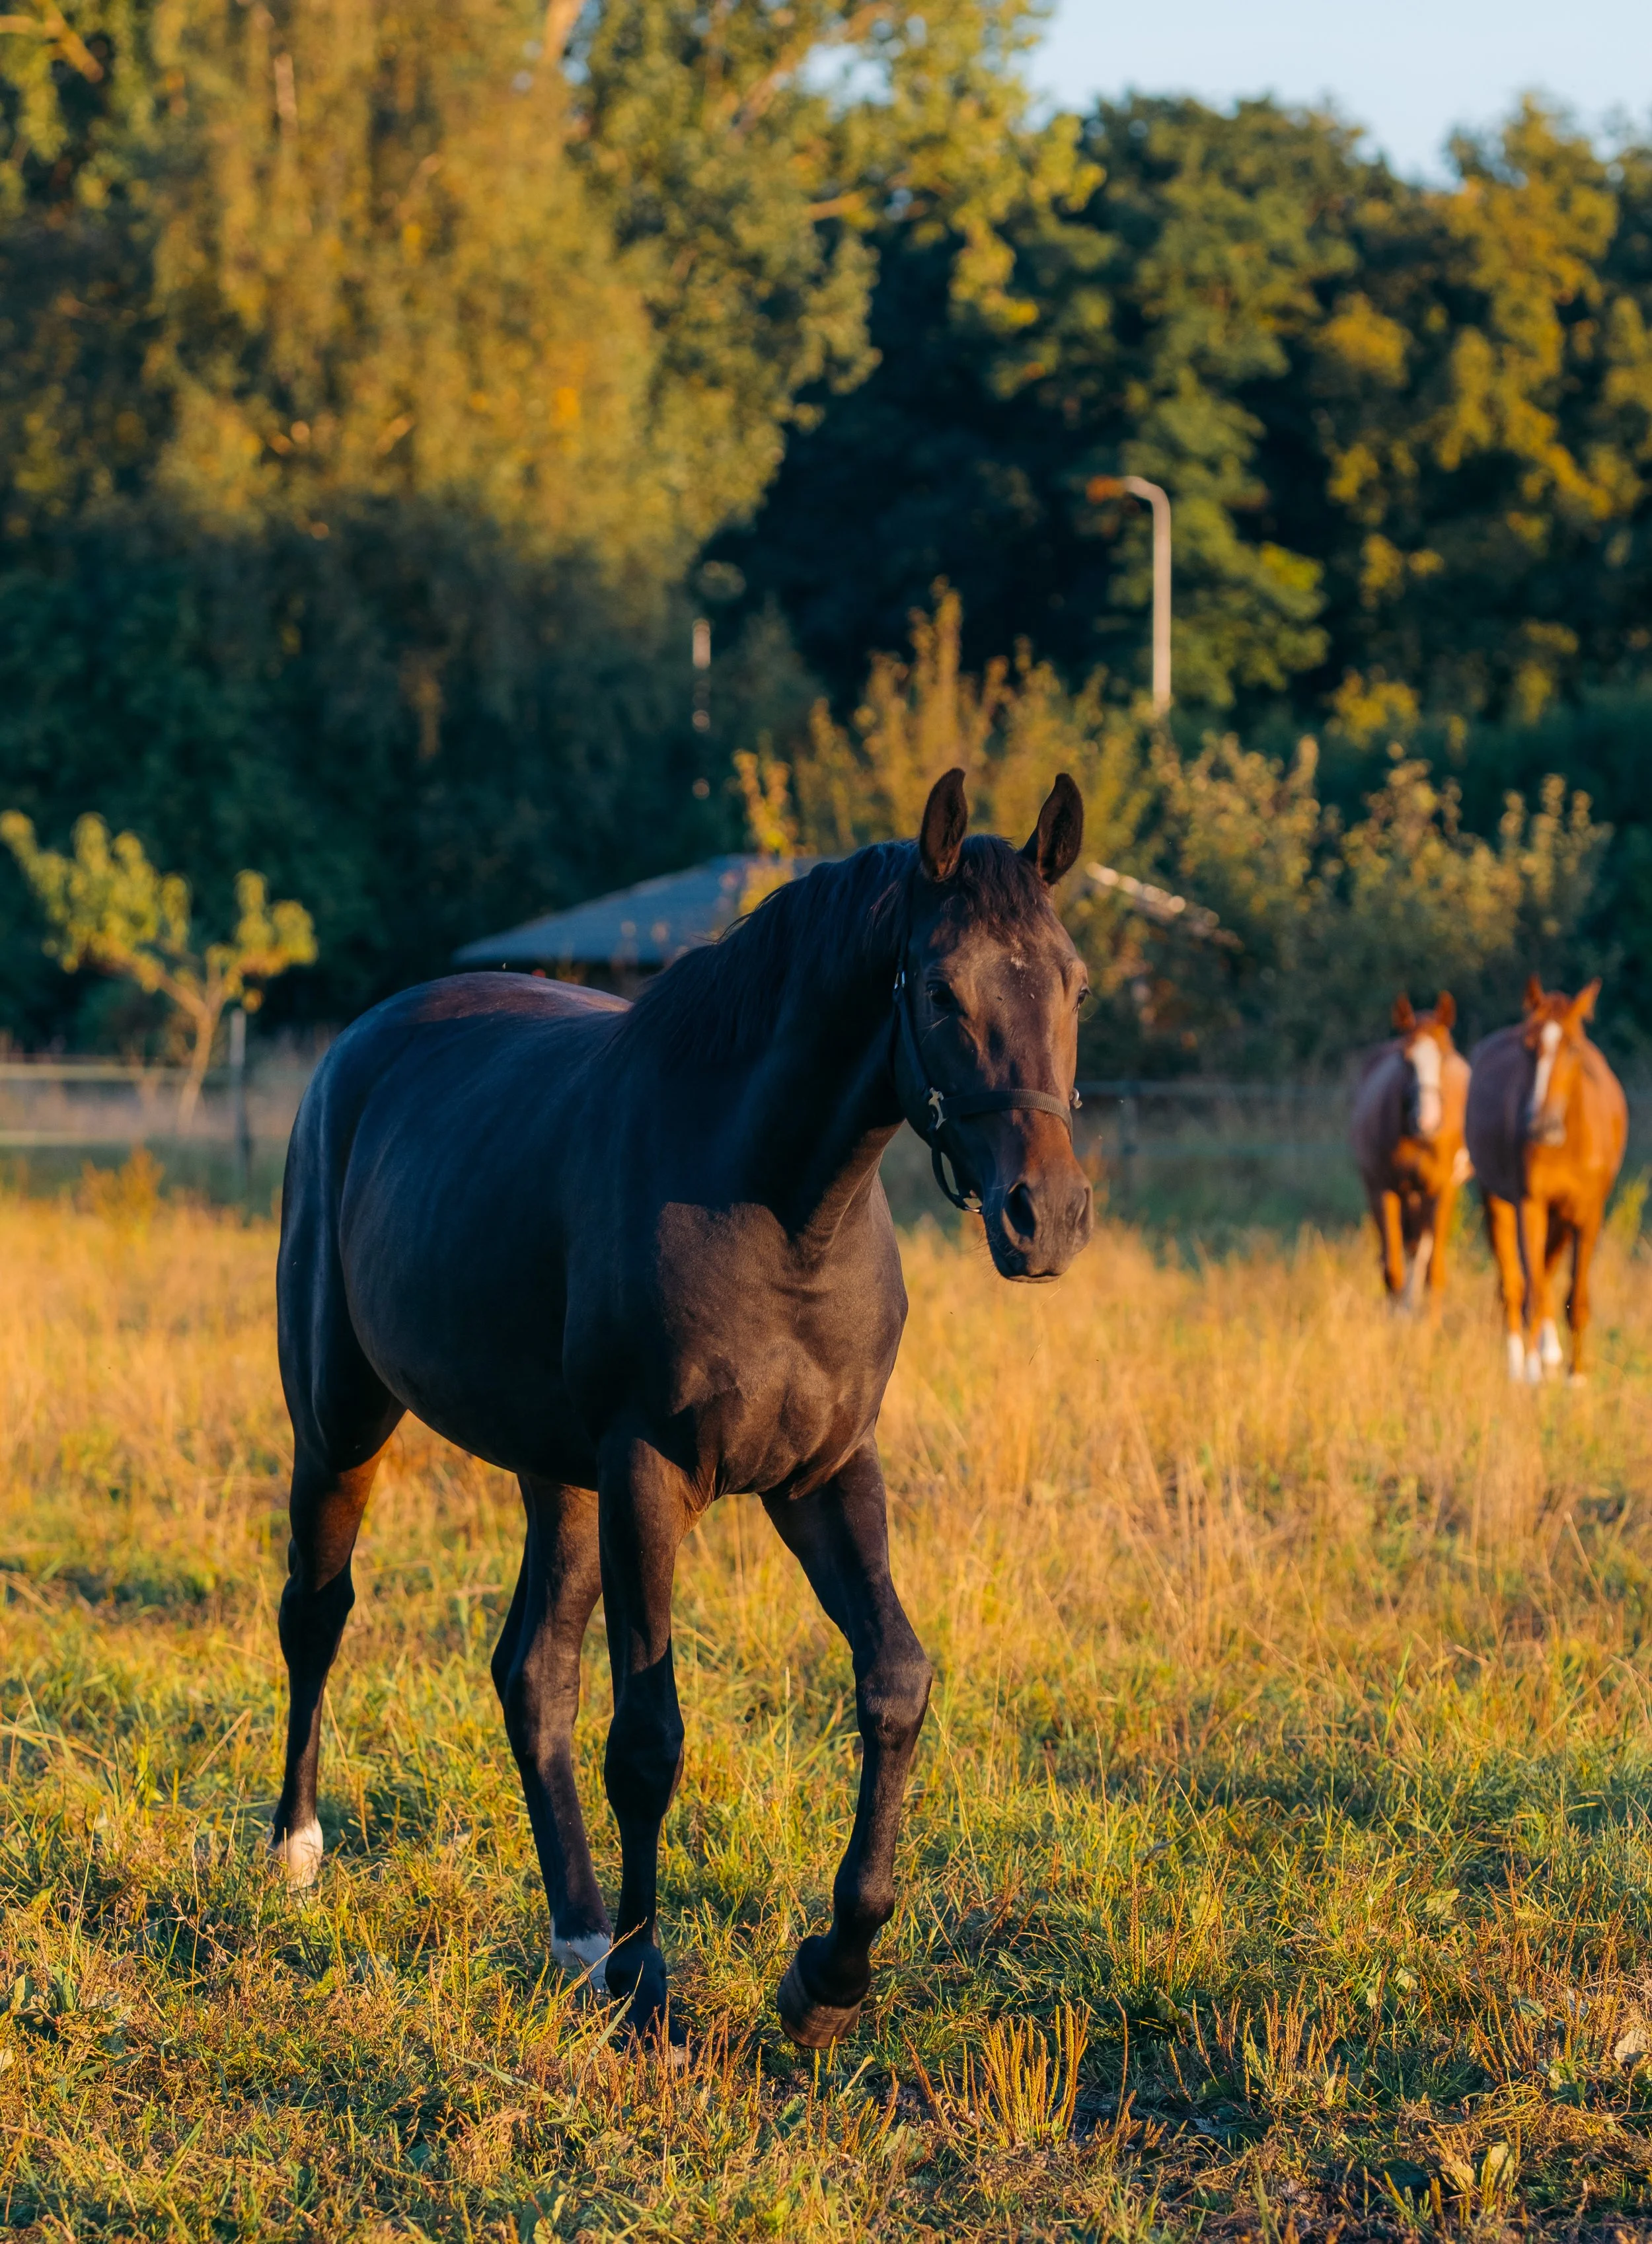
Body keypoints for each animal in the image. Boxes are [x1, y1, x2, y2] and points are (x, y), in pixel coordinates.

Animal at [268, 769, 1094, 2050]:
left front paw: (828, 1977)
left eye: (1074, 983)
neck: (780, 1209)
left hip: (556, 1476)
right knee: (318, 1612)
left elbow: (895, 1683)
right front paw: (650, 1988)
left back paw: (577, 1936)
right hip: (343, 1421)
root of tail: (361, 1045)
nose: (1043, 1216)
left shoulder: (826, 1476)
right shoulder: (650, 1473)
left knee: (531, 1675)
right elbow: (650, 1738)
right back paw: (302, 1857)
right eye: (941, 988)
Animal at [1350, 992, 1472, 1314]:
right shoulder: (1384, 1190)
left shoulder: (1442, 1189)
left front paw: (1430, 1325)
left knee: (1422, 1250)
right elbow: (1393, 1268)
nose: (1426, 1120)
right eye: (1406, 1059)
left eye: (1444, 1055)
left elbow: (1434, 1270)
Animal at [1464, 977, 1627, 1381]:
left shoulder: (1588, 1213)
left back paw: (1550, 1352)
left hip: (1562, 1216)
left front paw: (1576, 1377)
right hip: (1497, 1201)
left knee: (1546, 1271)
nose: (1541, 1126)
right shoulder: (1530, 1205)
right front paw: (1533, 1372)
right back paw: (1519, 1363)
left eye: (1573, 1047)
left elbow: (1576, 1296)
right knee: (1516, 1283)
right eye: (1528, 1046)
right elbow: (1532, 1290)